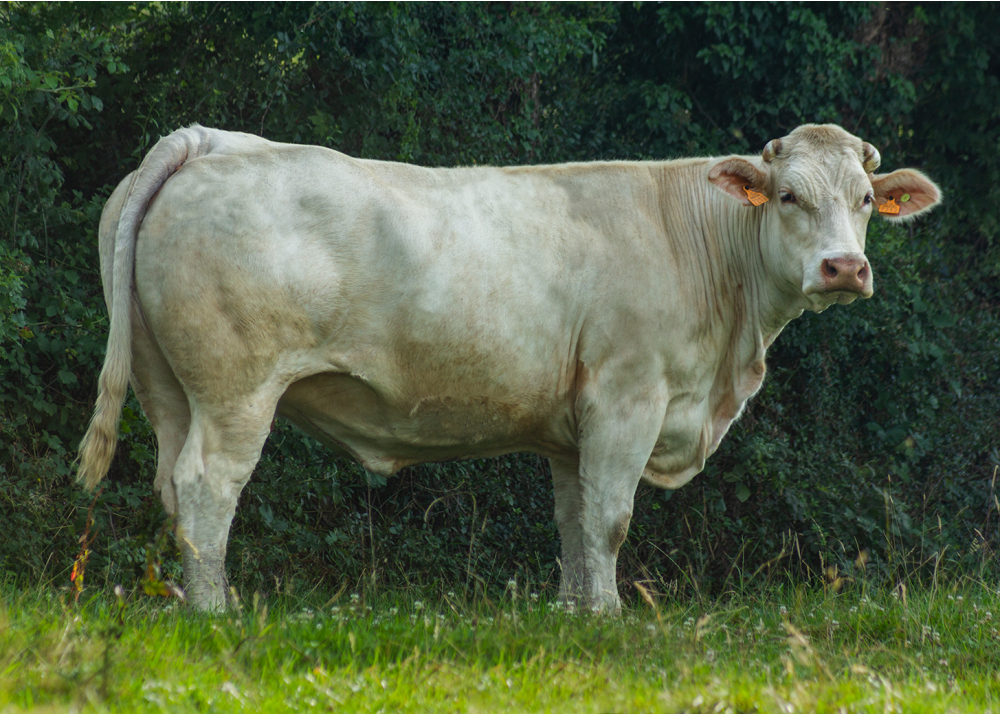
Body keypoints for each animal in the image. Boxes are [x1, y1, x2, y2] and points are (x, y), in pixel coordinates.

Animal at [76, 123, 936, 608]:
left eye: (865, 199)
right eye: (788, 196)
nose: (843, 268)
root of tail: (211, 139)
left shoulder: (573, 427)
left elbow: (575, 519)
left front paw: (574, 615)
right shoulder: (628, 395)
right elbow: (612, 516)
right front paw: (611, 618)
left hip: (168, 387)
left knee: (172, 484)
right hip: (237, 390)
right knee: (207, 486)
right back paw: (215, 613)